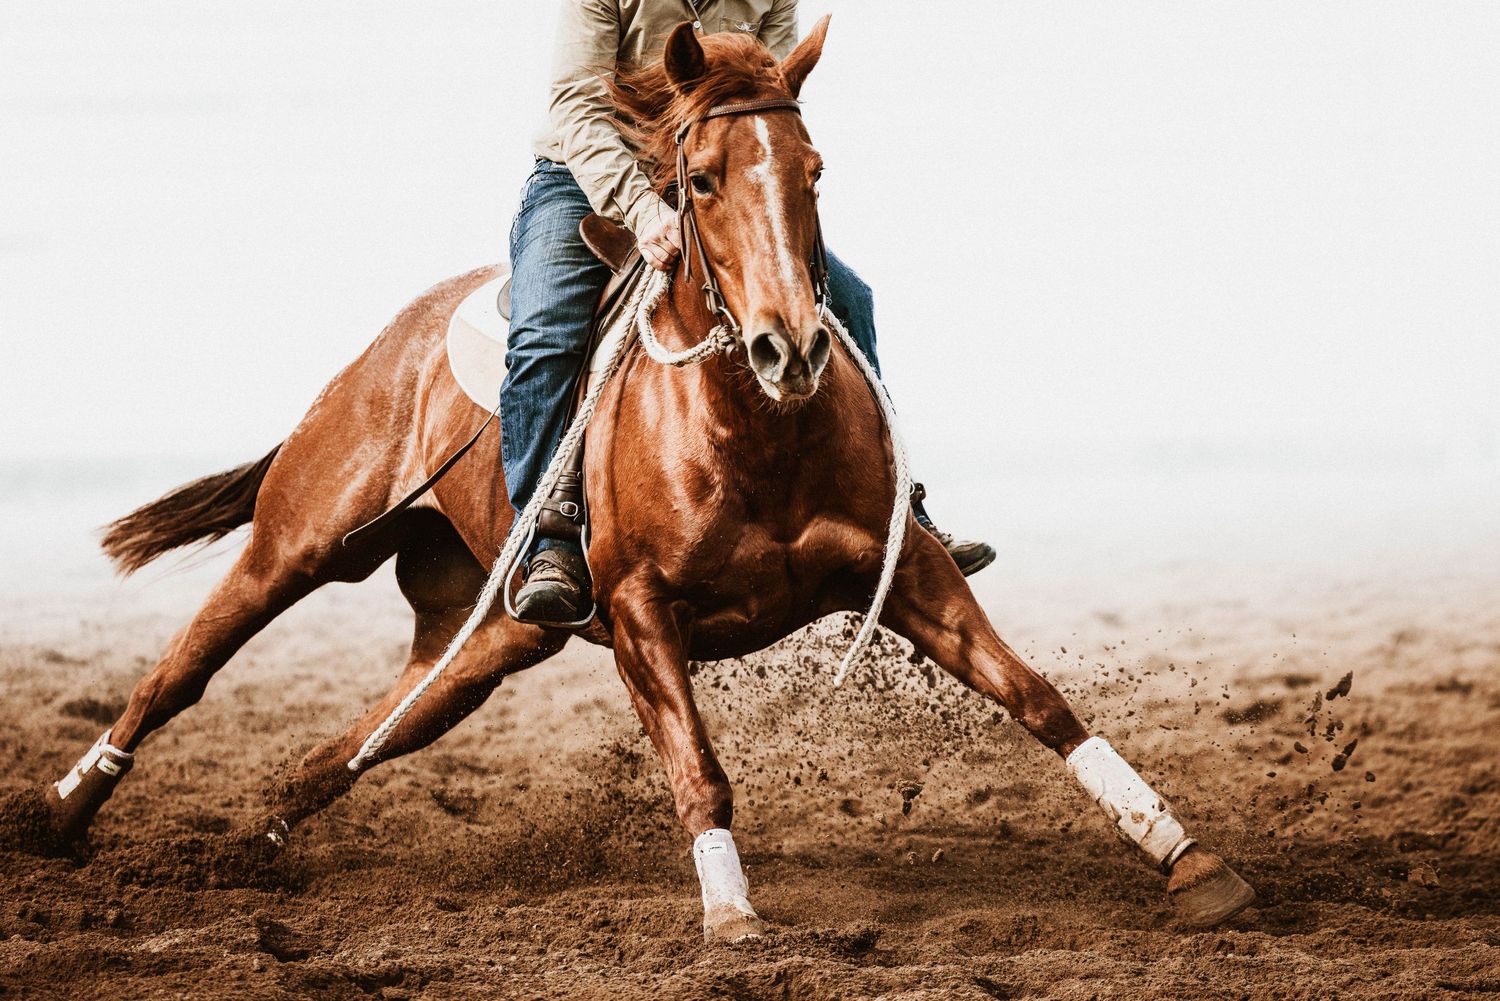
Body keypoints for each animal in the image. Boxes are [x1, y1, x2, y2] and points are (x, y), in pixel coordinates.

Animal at [3, 19, 1254, 940]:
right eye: (698, 180)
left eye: (812, 170)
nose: (791, 347)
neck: (752, 435)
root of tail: (391, 344)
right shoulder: (644, 609)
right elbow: (699, 769)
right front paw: (733, 917)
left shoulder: (906, 576)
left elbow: (1040, 697)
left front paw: (1186, 855)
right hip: (296, 543)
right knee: (176, 675)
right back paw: (57, 817)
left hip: (485, 641)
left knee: (358, 738)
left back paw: (248, 841)